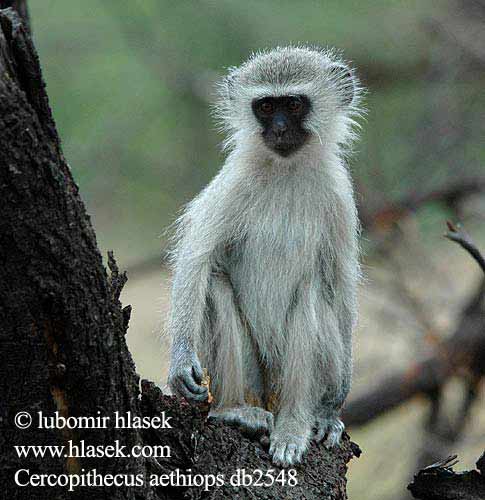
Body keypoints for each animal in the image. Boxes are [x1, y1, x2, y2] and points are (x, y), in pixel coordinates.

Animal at [168, 45, 362, 466]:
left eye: (294, 104)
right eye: (266, 106)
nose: (279, 130)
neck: (287, 169)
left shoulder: (340, 196)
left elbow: (341, 285)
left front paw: (336, 403)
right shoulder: (233, 182)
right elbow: (196, 257)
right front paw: (181, 359)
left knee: (313, 293)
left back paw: (296, 423)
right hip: (253, 375)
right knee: (215, 284)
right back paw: (233, 411)